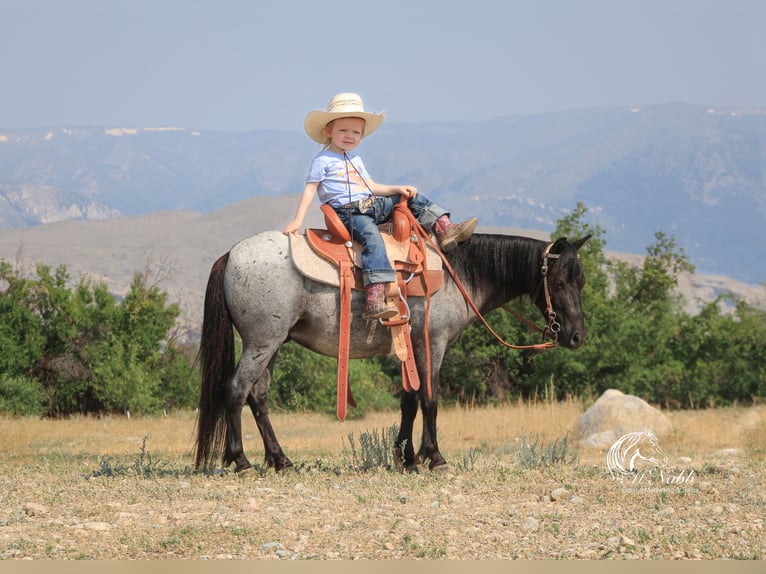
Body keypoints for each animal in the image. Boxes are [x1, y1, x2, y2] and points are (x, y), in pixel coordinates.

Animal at [195, 232, 592, 474]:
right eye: (558, 282)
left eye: (582, 280)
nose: (576, 336)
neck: (455, 275)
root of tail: (232, 255)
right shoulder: (433, 344)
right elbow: (429, 399)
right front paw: (434, 457)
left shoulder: (411, 349)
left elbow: (409, 401)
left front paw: (406, 456)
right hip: (262, 343)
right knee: (236, 391)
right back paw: (241, 460)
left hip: (272, 345)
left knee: (258, 397)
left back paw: (280, 460)